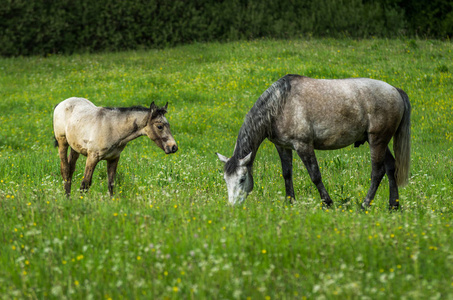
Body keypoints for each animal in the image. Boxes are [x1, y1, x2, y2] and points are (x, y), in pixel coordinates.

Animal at [215, 73, 410, 209]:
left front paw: (327, 203)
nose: (233, 207)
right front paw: (290, 202)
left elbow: (315, 175)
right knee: (391, 167)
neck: (280, 104)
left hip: (377, 140)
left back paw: (364, 205)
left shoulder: (303, 145)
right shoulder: (282, 147)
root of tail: (395, 90)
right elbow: (287, 174)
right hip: (379, 141)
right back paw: (393, 205)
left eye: (242, 179)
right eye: (225, 179)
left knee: (377, 172)